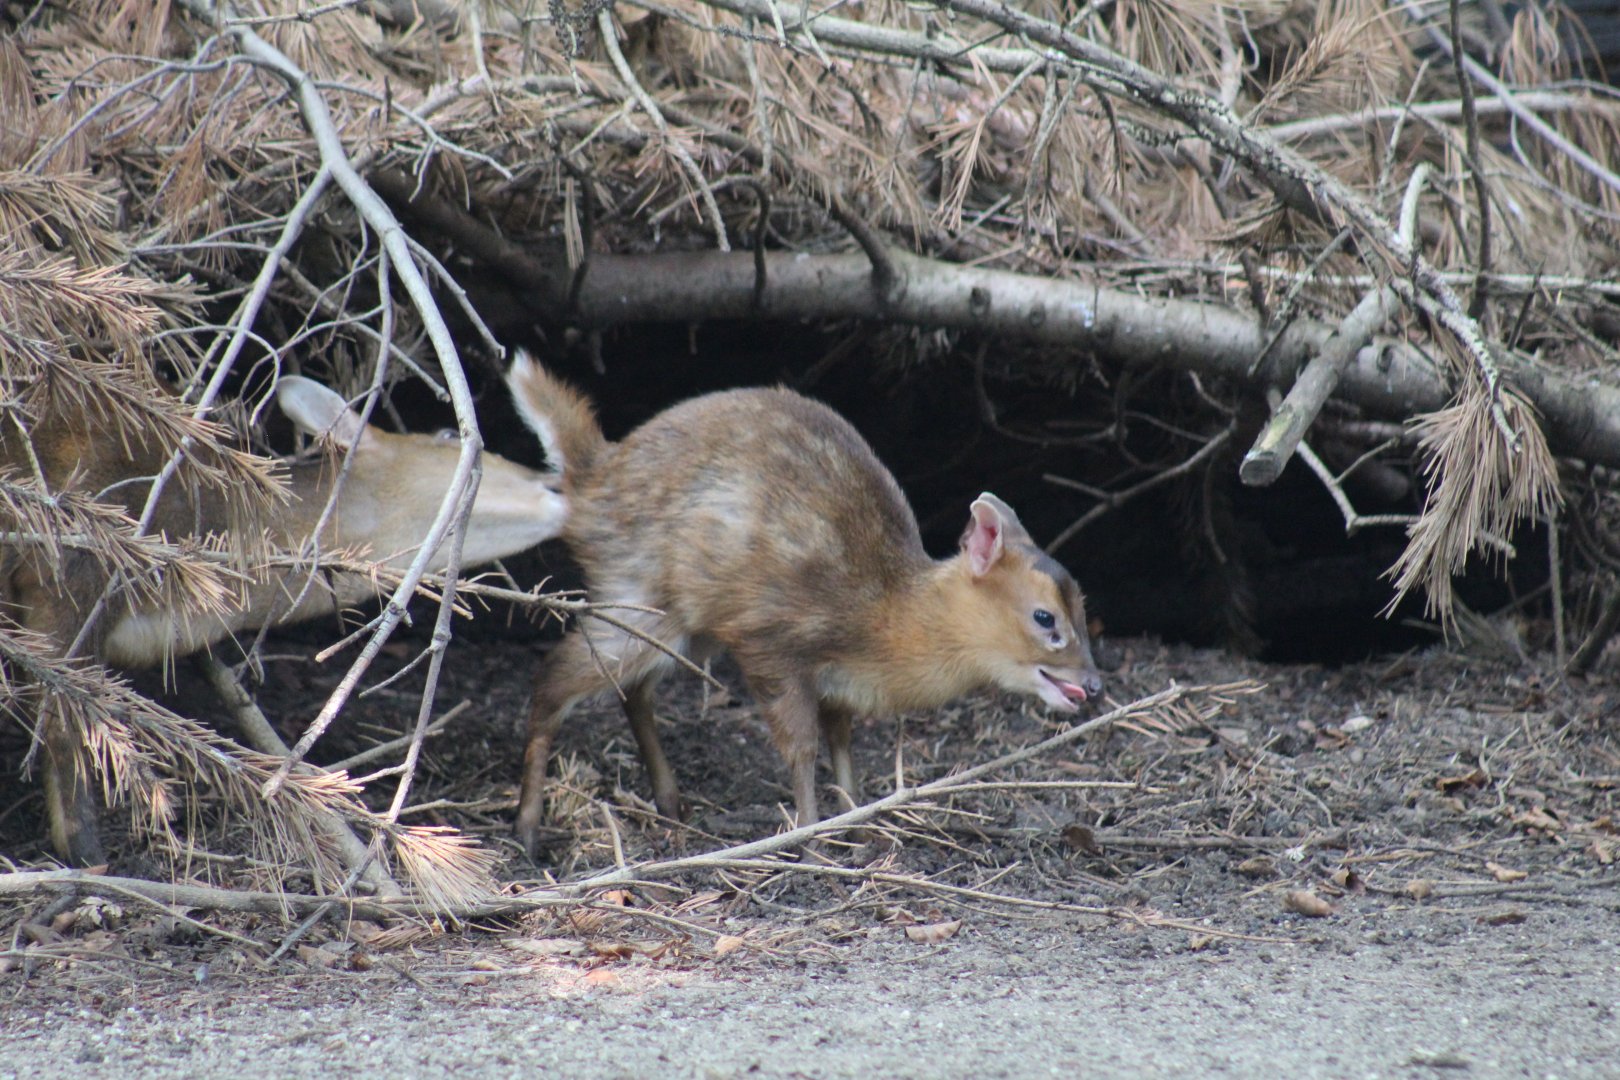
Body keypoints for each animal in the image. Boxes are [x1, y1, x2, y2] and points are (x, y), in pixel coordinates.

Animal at [504, 351, 1103, 857]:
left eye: (1083, 609)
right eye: (1045, 618)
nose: (1095, 685)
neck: (883, 615)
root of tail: (591, 480)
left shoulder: (838, 681)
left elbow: (842, 745)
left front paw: (858, 826)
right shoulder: (771, 640)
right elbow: (802, 747)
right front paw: (812, 841)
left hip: (682, 627)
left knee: (633, 691)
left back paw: (671, 803)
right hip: (638, 591)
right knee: (553, 677)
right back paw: (529, 829)